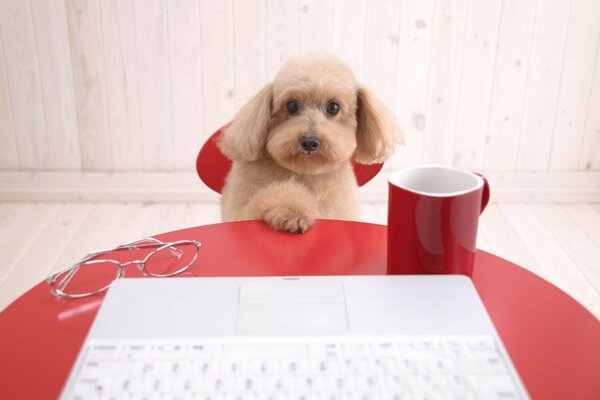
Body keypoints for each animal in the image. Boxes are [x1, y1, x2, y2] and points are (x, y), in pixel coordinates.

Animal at [218, 53, 400, 234]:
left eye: (333, 107)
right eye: (291, 105)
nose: (309, 142)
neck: (305, 174)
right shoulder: (240, 213)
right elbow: (266, 198)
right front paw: (292, 211)